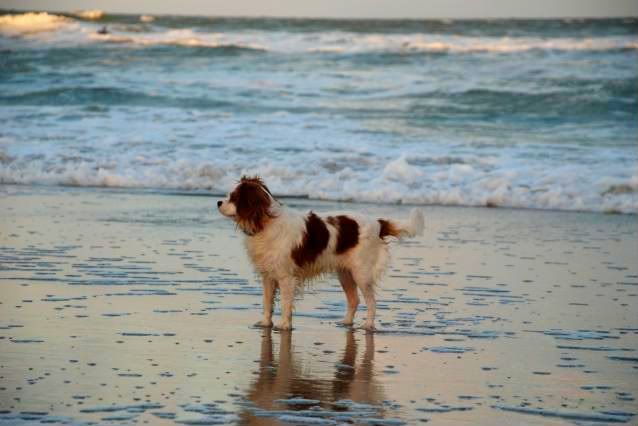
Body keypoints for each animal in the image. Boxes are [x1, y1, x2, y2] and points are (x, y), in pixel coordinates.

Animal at [219, 176, 424, 330]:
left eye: (233, 197)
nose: (218, 202)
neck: (266, 222)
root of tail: (378, 223)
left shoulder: (286, 277)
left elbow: (285, 303)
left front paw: (284, 325)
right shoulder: (268, 276)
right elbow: (267, 302)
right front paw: (265, 323)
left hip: (361, 273)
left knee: (371, 302)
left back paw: (368, 325)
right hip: (345, 274)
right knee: (354, 299)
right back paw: (346, 322)